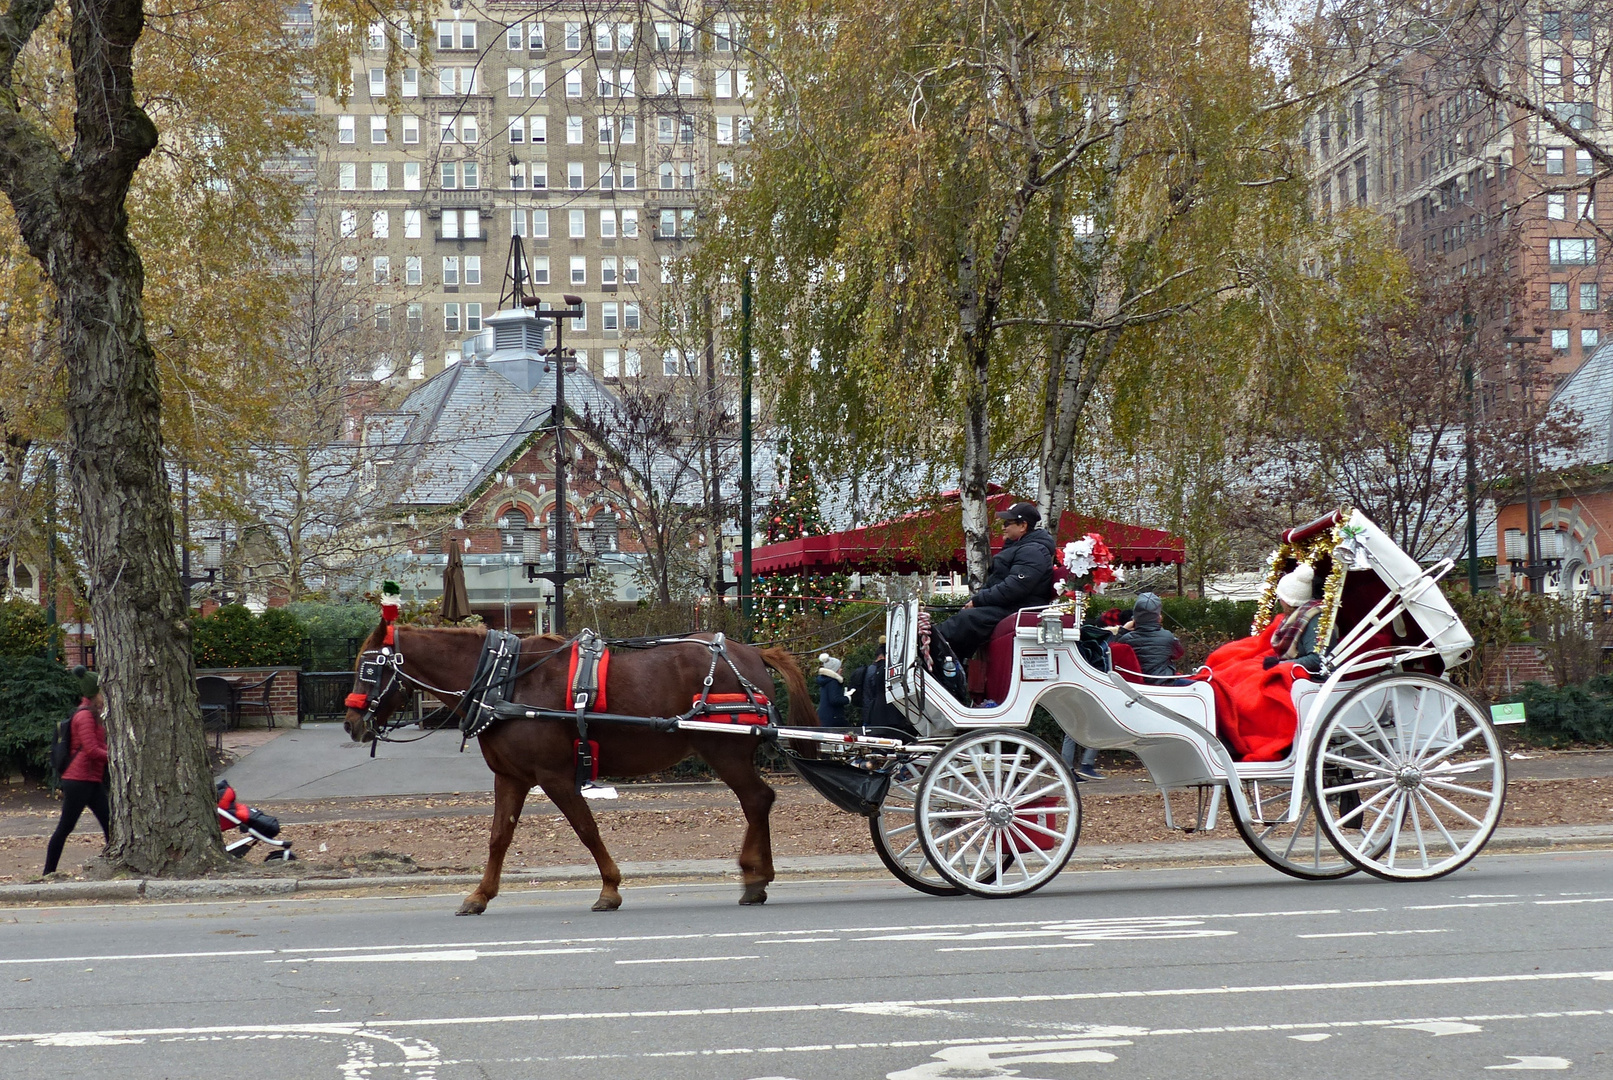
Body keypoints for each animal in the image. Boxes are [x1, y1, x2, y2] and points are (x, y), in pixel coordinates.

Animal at [345, 625, 812, 915]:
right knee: (758, 801)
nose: (351, 724)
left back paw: (755, 876)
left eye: (369, 668)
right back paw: (757, 877)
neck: (506, 681)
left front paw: (609, 888)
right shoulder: (511, 777)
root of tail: (752, 652)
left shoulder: (554, 776)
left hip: (724, 752)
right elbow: (499, 838)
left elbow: (587, 830)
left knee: (757, 799)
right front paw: (480, 894)